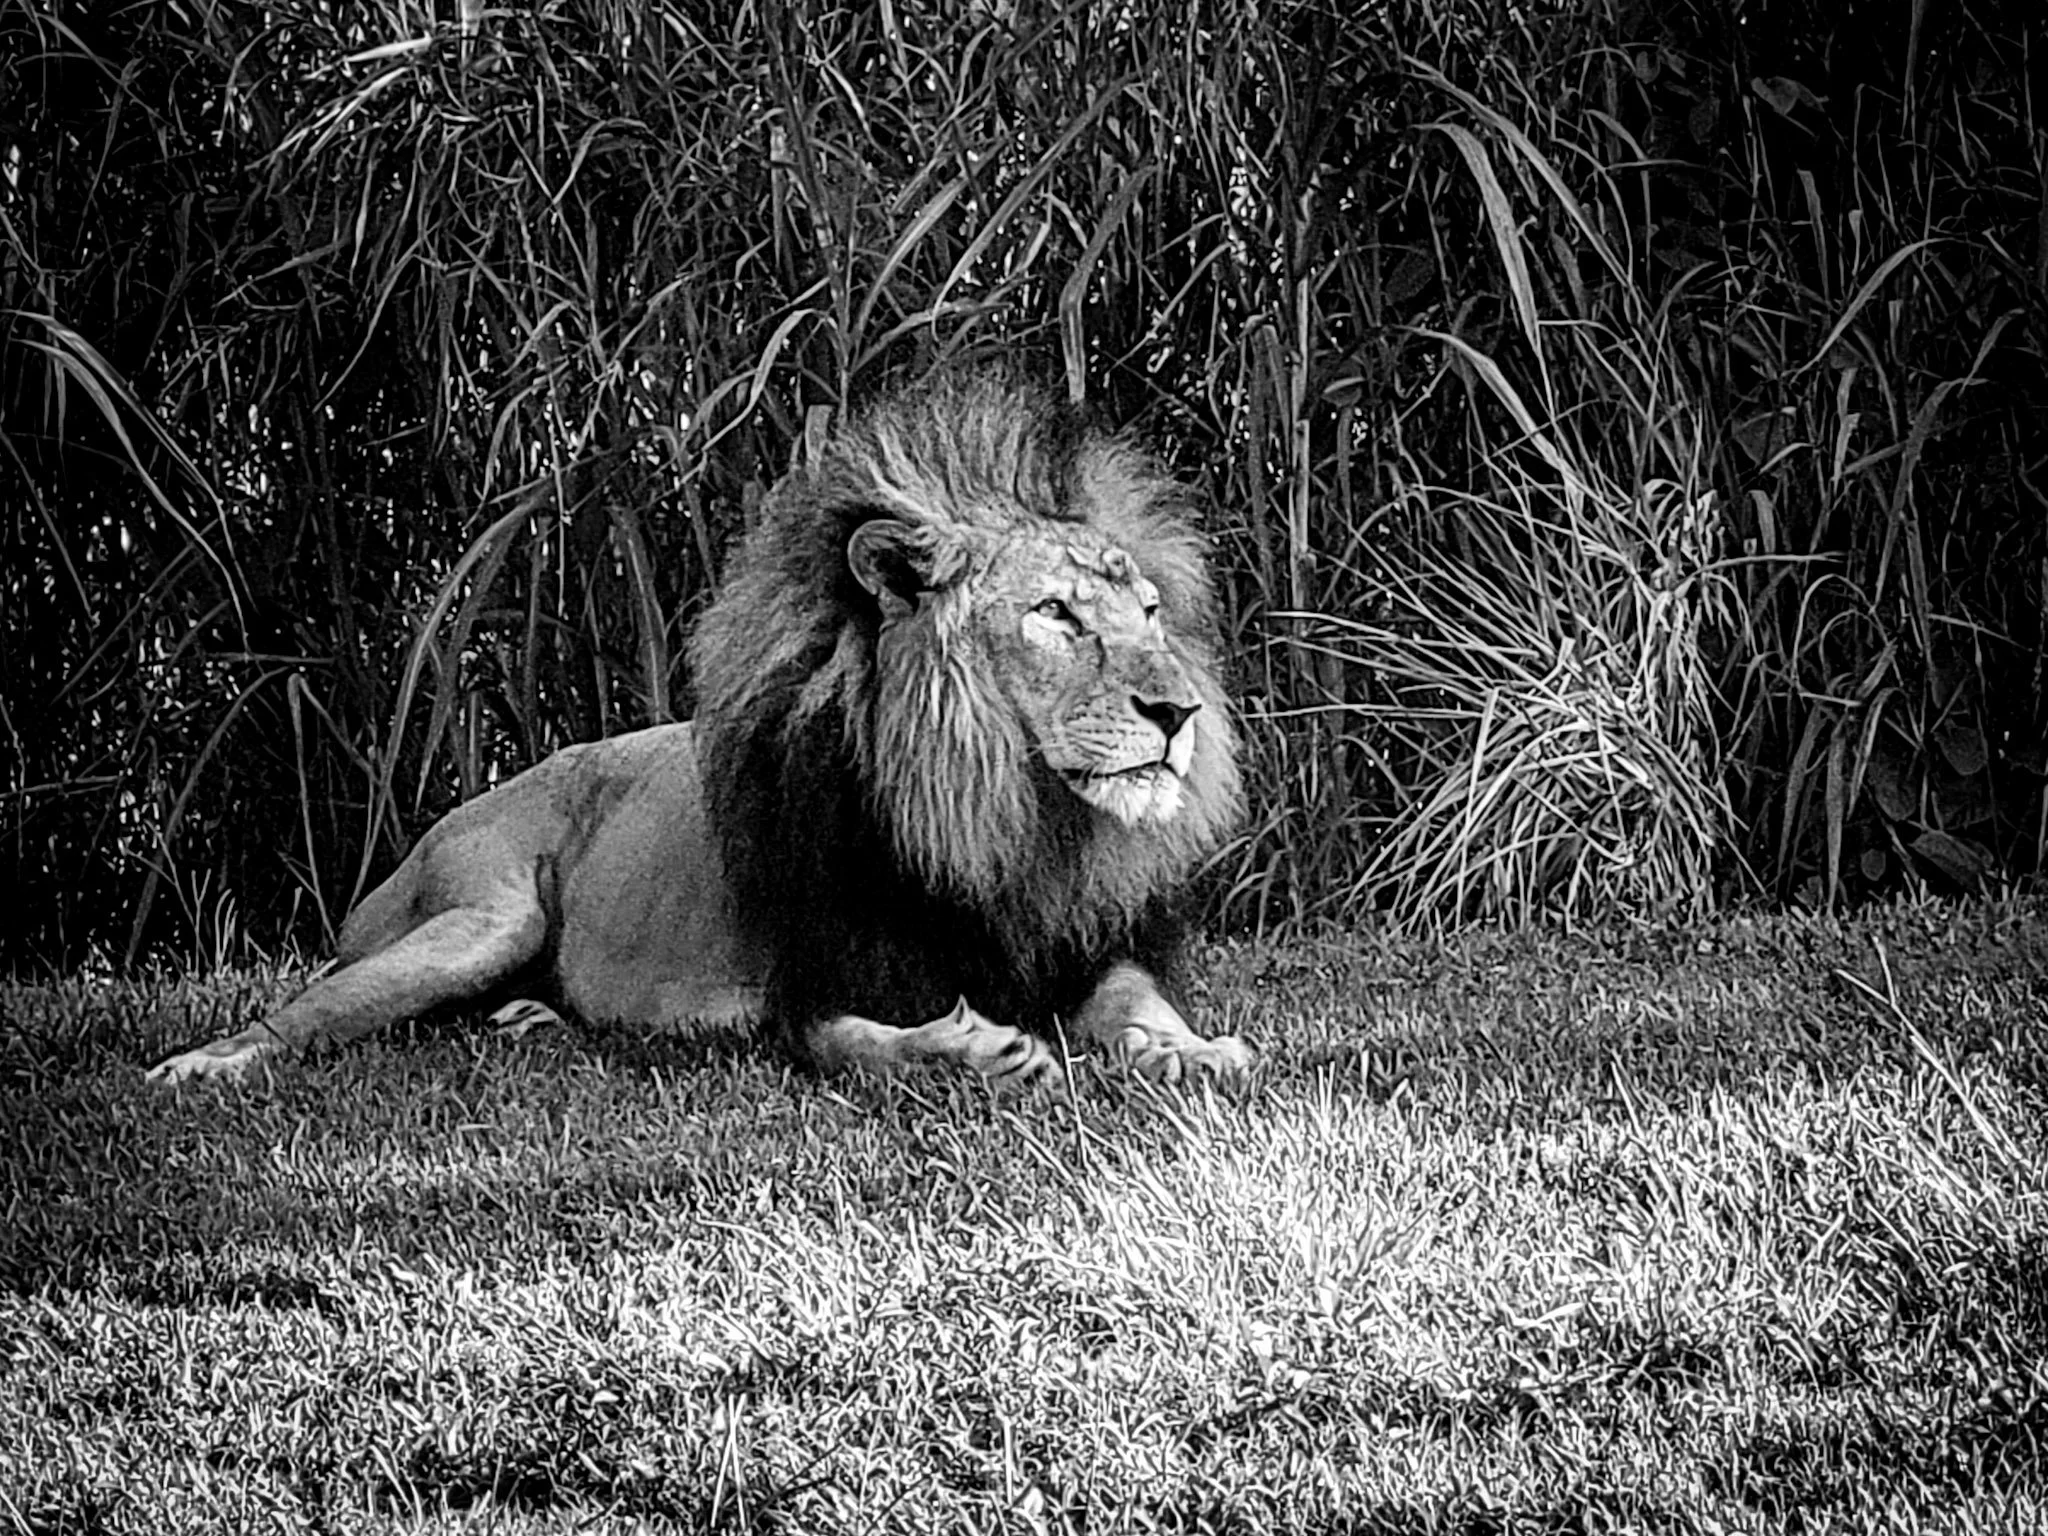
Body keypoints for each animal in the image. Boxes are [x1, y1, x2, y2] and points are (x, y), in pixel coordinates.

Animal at [146, 371, 1251, 1090]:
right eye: (1054, 615)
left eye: (1150, 612)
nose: (1178, 713)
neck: (1008, 822)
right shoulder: (811, 984)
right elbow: (862, 1044)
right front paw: (973, 1048)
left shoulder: (1097, 948)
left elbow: (1139, 1010)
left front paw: (1193, 1051)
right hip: (477, 918)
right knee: (303, 1009)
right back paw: (200, 1065)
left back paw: (532, 1018)